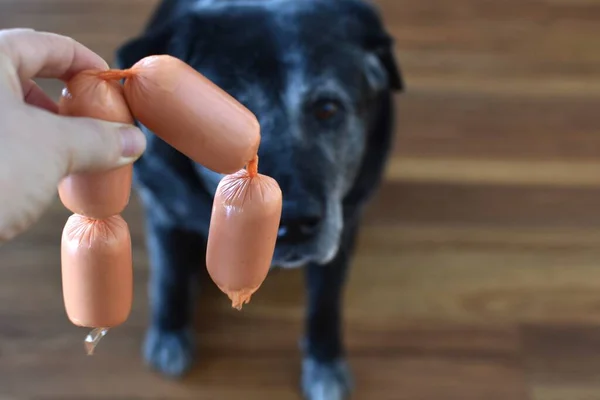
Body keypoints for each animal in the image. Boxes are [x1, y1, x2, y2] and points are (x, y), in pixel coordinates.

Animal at [113, 1, 404, 398]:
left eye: (327, 109)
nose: (294, 223)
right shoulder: (165, 210)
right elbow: (169, 275)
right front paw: (170, 334)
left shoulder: (344, 227)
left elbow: (325, 303)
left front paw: (325, 363)